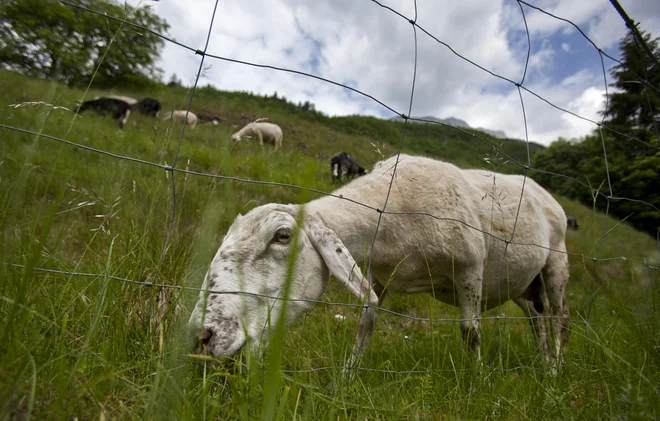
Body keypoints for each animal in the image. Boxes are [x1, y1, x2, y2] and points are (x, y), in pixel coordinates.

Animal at [187, 155, 572, 374]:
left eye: (282, 236)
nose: (201, 337)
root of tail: (542, 189)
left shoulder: (470, 269)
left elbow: (471, 332)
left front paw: (477, 382)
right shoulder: (378, 276)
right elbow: (365, 326)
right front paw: (346, 378)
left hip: (556, 264)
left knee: (560, 318)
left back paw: (555, 370)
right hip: (523, 285)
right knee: (537, 320)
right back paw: (544, 362)